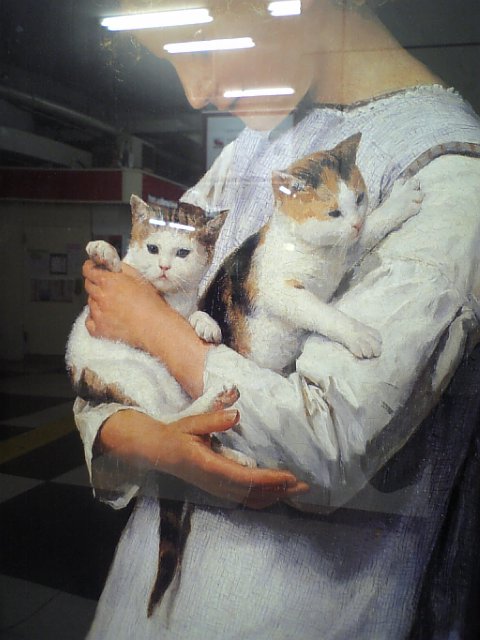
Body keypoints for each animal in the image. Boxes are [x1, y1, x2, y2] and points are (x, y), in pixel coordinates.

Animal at [200, 133, 424, 374]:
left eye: (359, 198)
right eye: (334, 213)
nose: (356, 224)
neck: (316, 251)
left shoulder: (346, 250)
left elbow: (372, 226)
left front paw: (401, 201)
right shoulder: (278, 291)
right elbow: (322, 313)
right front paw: (359, 334)